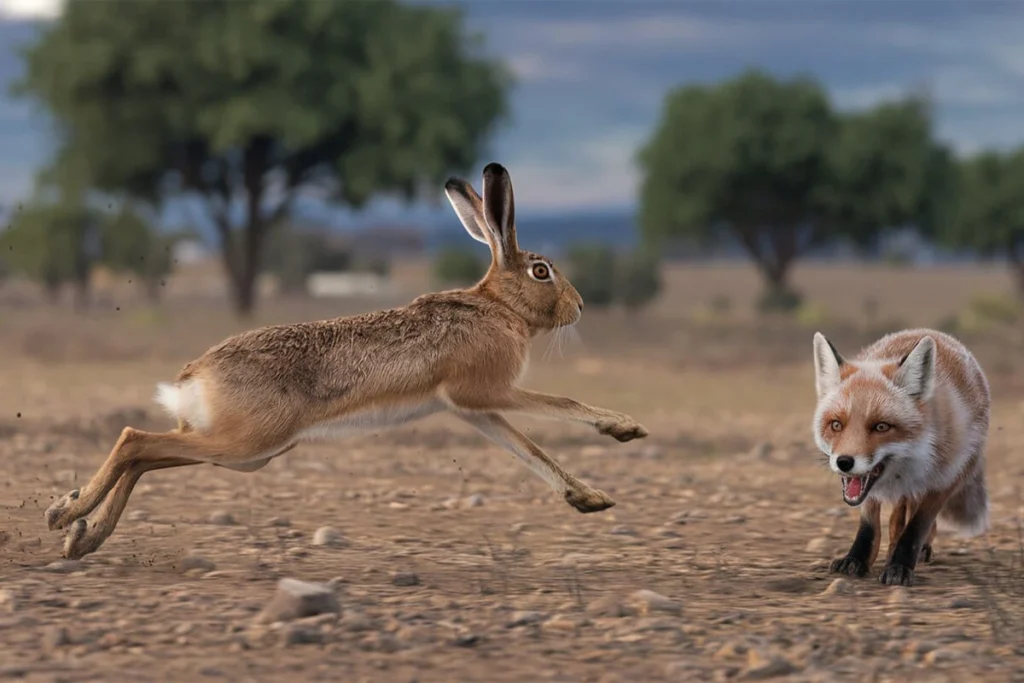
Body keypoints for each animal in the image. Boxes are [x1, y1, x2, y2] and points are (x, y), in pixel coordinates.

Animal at [811, 327, 987, 585]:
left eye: (881, 427)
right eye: (836, 425)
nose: (843, 462)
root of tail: (929, 331)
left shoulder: (944, 480)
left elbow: (916, 528)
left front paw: (900, 566)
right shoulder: (867, 489)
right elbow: (870, 526)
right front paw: (857, 559)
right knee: (898, 516)